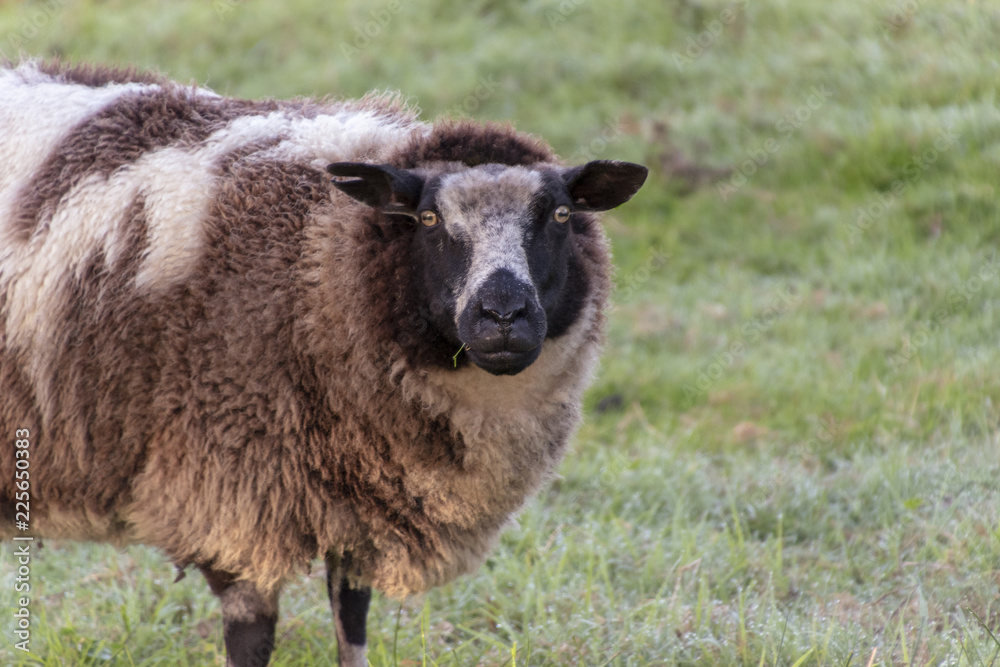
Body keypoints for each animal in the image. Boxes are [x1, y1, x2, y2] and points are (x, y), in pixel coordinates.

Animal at [0, 60, 648, 667]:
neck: (312, 259)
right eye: (429, 219)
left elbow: (351, 623)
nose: (503, 314)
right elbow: (253, 639)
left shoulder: (360, 511)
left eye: (560, 216)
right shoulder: (227, 492)